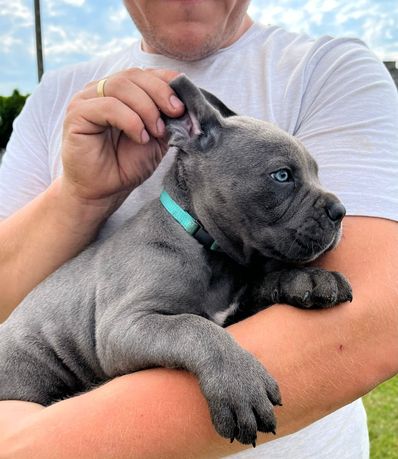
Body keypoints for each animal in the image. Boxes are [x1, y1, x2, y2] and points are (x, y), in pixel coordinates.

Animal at [0, 75, 352, 446]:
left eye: (316, 173)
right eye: (282, 176)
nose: (340, 211)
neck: (211, 251)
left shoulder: (233, 306)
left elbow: (261, 283)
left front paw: (308, 278)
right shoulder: (125, 324)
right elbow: (192, 326)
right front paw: (240, 383)